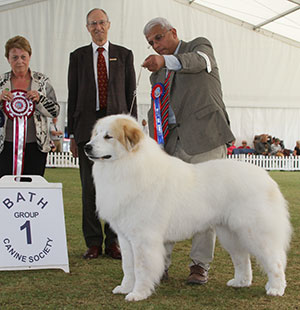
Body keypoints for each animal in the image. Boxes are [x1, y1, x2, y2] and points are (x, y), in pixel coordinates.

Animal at [84, 115, 290, 302]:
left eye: (108, 136)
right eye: (96, 134)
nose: (86, 146)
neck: (126, 166)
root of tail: (266, 177)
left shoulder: (143, 239)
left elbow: (141, 268)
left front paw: (138, 294)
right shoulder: (125, 237)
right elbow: (127, 267)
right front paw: (125, 288)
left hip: (256, 233)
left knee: (275, 261)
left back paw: (276, 289)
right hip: (230, 234)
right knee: (242, 259)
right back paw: (241, 282)